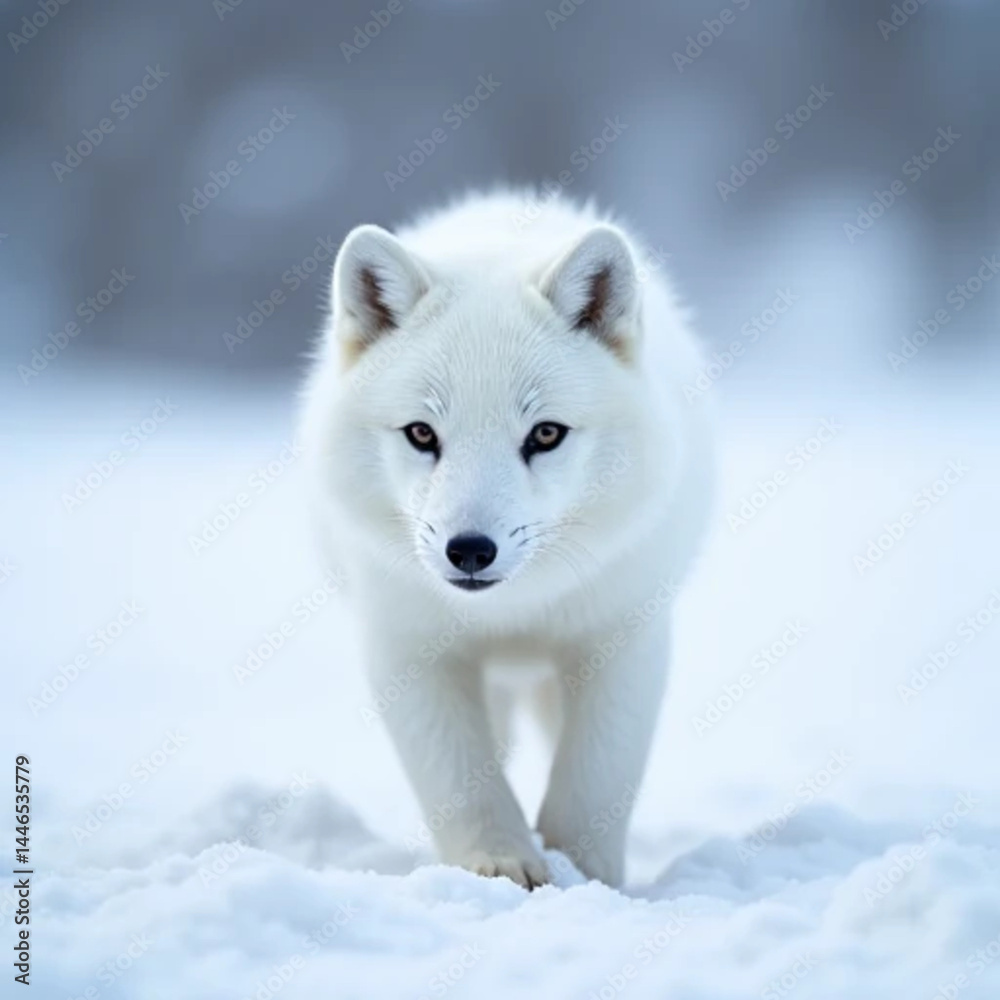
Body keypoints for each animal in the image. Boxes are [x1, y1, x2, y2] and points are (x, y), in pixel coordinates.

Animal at [299, 190, 713, 888]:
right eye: (421, 434)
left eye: (545, 434)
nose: (469, 550)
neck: (512, 614)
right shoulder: (410, 648)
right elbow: (461, 775)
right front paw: (497, 863)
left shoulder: (623, 637)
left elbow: (595, 777)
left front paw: (583, 873)